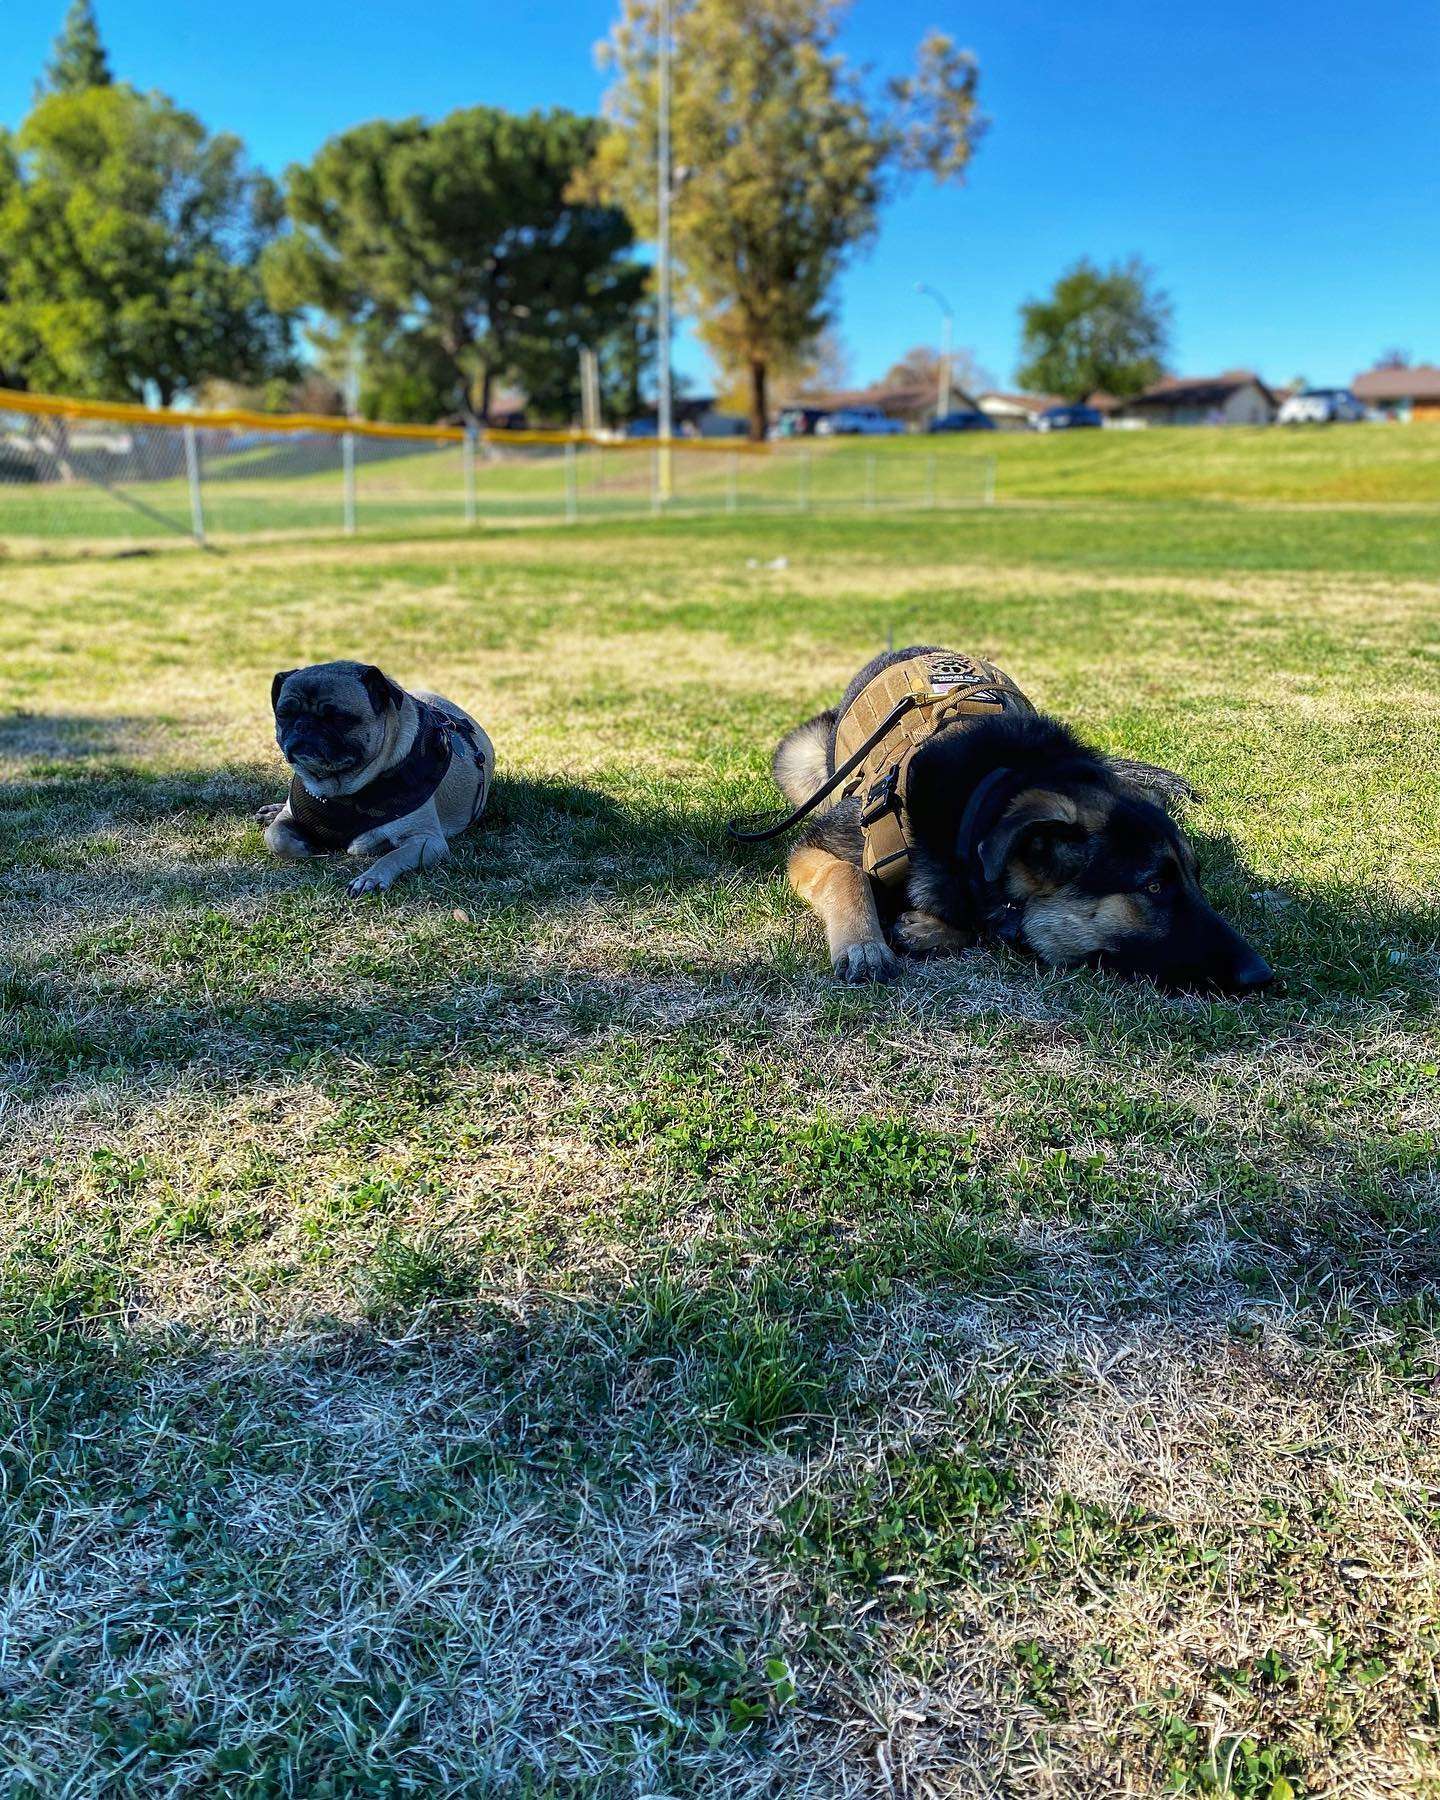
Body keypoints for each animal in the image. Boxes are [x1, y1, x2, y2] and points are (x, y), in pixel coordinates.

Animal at [253, 658, 489, 896]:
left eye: (338, 718)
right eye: (283, 714)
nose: (303, 725)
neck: (337, 790)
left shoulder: (426, 840)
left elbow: (393, 856)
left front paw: (371, 878)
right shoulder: (290, 817)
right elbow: (275, 838)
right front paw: (301, 844)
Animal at [763, 644, 1274, 993]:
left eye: (1196, 878)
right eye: (1152, 886)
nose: (1265, 975)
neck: (990, 788)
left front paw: (928, 928)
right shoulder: (817, 845)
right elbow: (845, 876)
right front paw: (864, 945)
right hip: (800, 757)